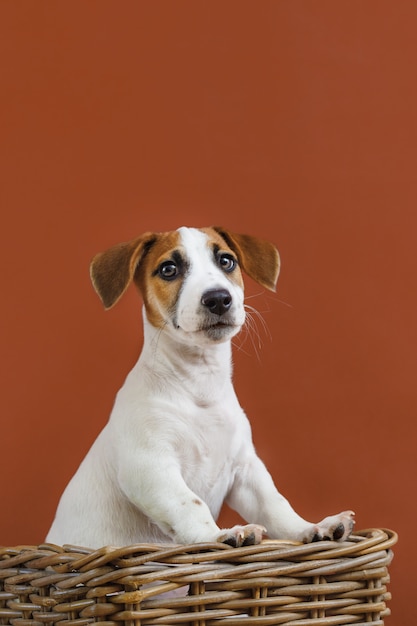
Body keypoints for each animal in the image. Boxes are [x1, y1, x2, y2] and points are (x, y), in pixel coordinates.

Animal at [46, 225, 354, 544]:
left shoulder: (245, 470)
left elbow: (276, 504)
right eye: (168, 269)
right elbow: (191, 504)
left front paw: (312, 527)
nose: (218, 298)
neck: (199, 385)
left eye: (227, 261)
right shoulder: (151, 467)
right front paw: (218, 536)